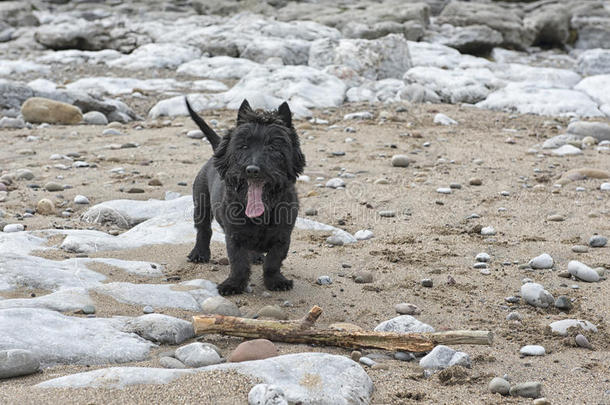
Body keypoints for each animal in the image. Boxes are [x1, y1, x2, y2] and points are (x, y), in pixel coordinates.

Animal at [182, 96, 302, 296]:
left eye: (273, 147)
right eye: (243, 146)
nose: (252, 169)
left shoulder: (283, 236)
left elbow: (273, 261)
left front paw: (276, 281)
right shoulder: (234, 237)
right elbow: (238, 262)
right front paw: (233, 285)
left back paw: (256, 256)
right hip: (201, 203)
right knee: (203, 229)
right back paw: (199, 253)